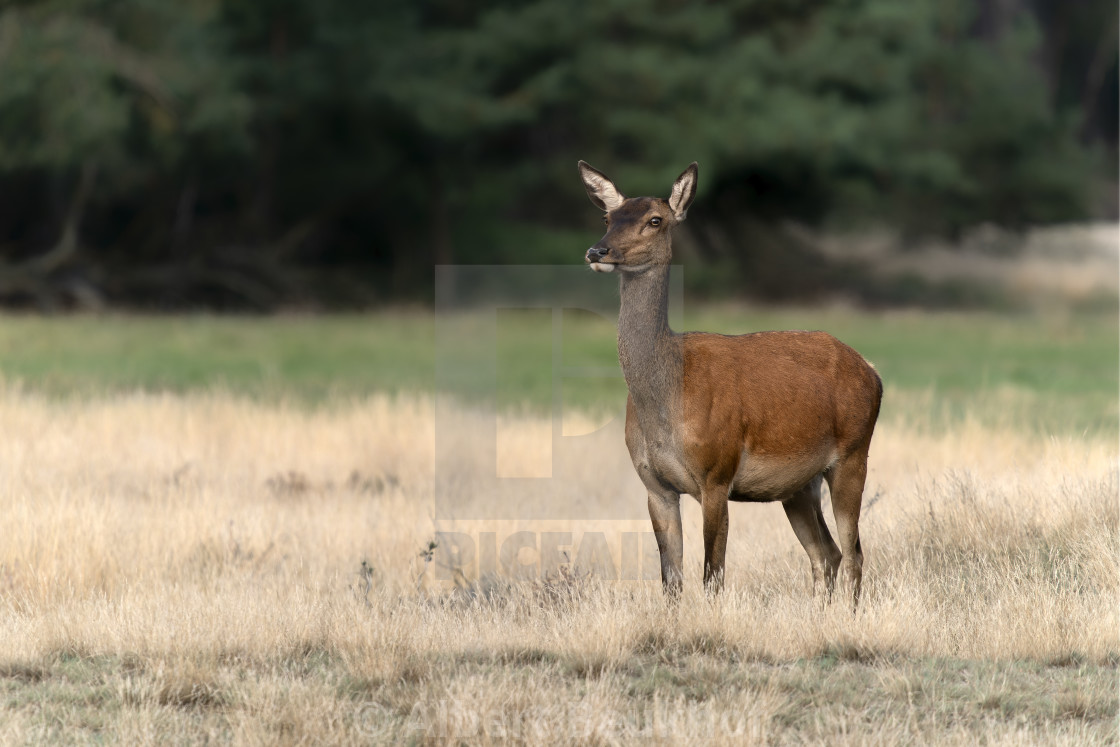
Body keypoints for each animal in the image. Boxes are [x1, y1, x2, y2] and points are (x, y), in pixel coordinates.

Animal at [577, 162, 882, 609]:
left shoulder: (717, 472)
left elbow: (712, 574)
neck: (667, 399)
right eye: (607, 218)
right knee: (827, 552)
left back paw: (851, 615)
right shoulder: (654, 485)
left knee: (855, 551)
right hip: (798, 484)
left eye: (655, 220)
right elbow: (671, 579)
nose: (598, 252)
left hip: (853, 453)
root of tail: (873, 373)